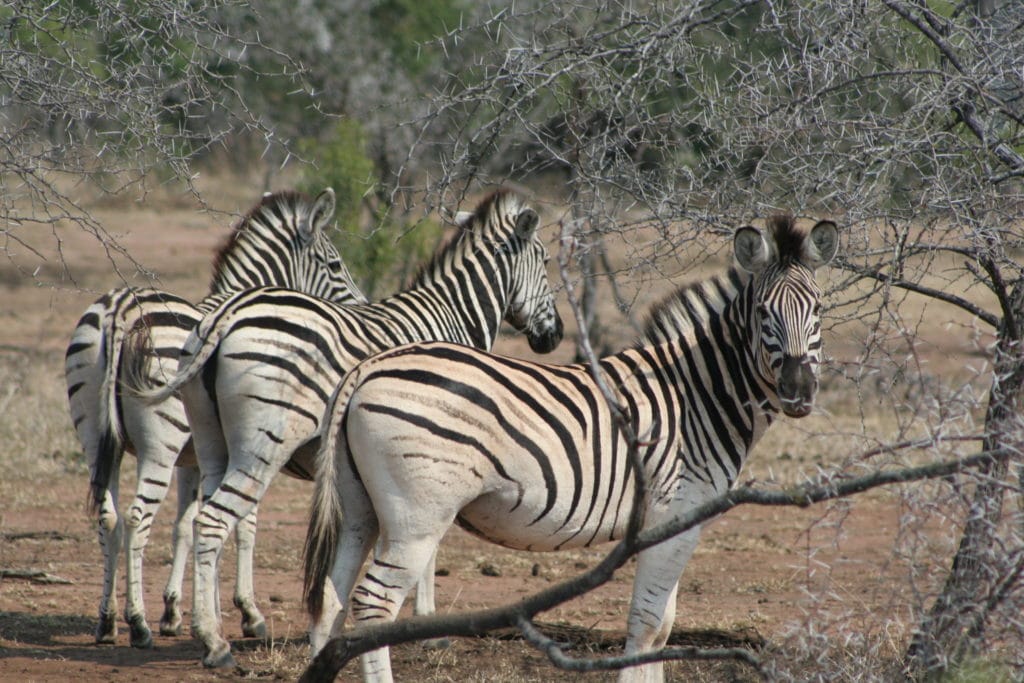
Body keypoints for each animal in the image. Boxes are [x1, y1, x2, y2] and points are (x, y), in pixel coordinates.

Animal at [62, 189, 364, 651]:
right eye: (334, 264)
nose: (364, 307)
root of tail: (120, 309)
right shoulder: (222, 449)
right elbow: (242, 524)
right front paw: (245, 614)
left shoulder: (194, 460)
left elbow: (185, 526)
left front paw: (178, 612)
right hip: (159, 443)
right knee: (136, 518)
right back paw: (137, 623)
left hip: (95, 436)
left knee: (109, 517)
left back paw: (108, 621)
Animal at [125, 188, 569, 667]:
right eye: (546, 261)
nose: (555, 336)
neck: (451, 317)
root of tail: (228, 312)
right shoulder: (436, 453)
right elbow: (428, 551)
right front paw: (428, 628)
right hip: (257, 441)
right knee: (206, 521)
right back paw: (208, 640)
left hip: (209, 441)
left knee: (194, 521)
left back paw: (197, 625)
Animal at [299, 214, 835, 683]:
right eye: (763, 313)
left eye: (819, 310)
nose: (798, 390)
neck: (695, 396)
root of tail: (366, 367)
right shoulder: (675, 513)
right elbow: (647, 625)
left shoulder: (673, 524)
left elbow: (663, 627)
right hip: (417, 515)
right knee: (373, 605)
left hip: (360, 507)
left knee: (332, 599)